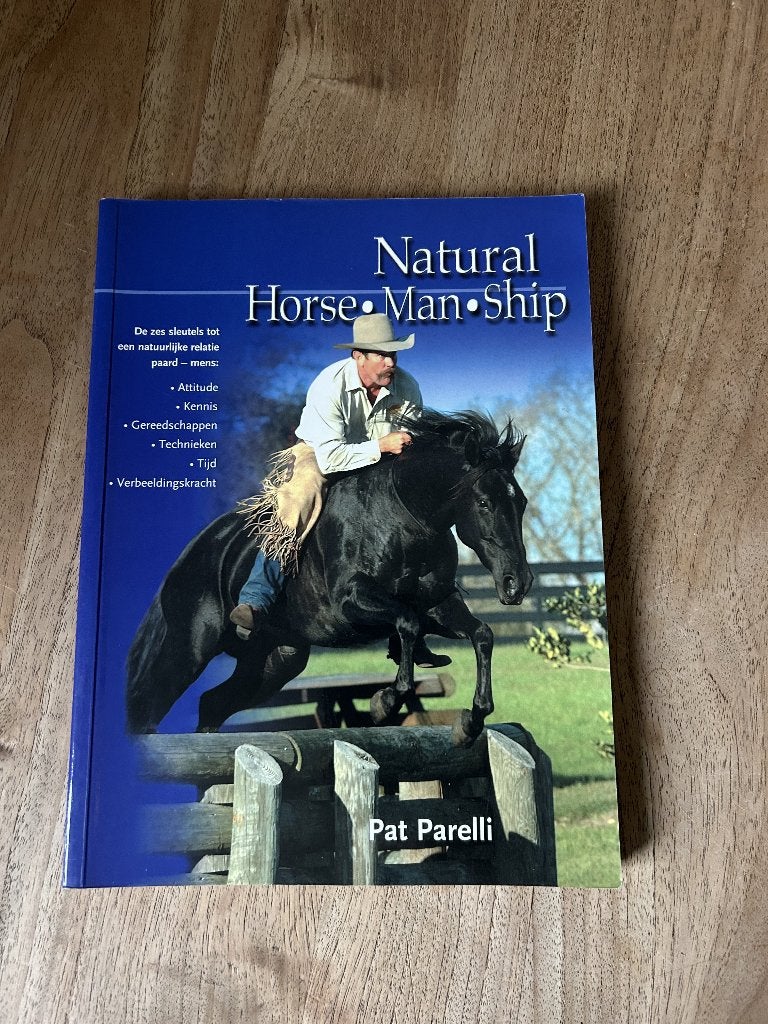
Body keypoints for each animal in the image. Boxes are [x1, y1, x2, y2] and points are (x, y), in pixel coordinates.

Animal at [126, 409, 534, 746]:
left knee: (212, 704)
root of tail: (192, 552)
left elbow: (480, 634)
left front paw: (472, 720)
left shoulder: (438, 605)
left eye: (522, 502)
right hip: (188, 650)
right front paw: (384, 703)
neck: (405, 517)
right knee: (148, 707)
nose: (518, 583)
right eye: (484, 503)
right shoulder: (350, 603)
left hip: (275, 661)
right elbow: (407, 623)